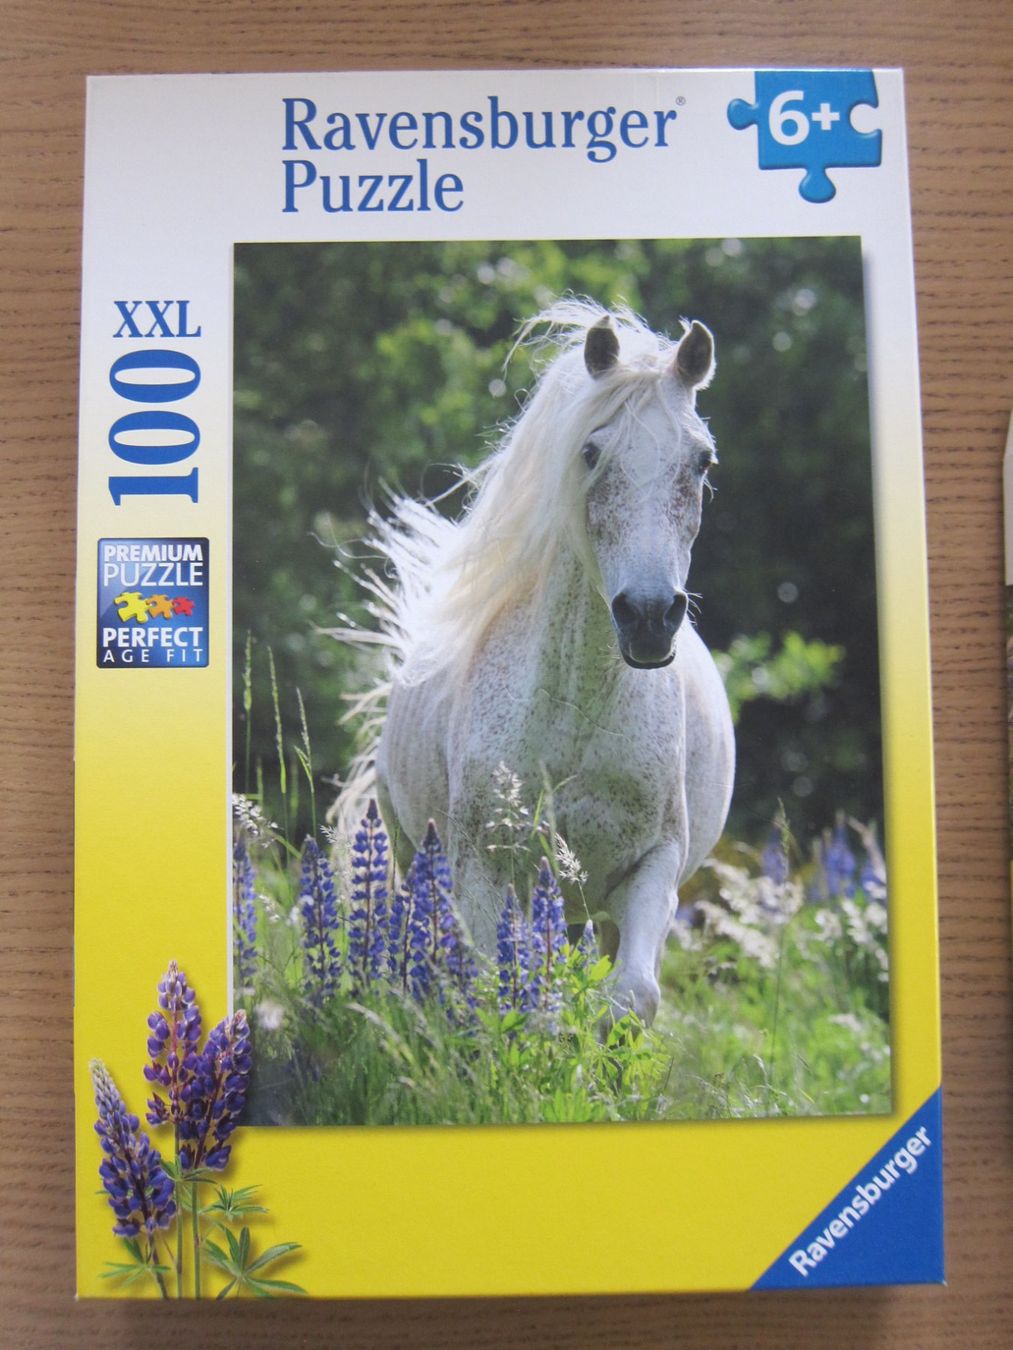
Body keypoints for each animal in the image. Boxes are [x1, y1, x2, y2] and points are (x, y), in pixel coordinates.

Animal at [345, 300, 734, 1025]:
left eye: (700, 461)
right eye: (590, 452)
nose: (647, 616)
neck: (577, 712)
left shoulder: (653, 867)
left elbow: (630, 996)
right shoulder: (483, 868)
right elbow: (495, 992)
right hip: (414, 855)